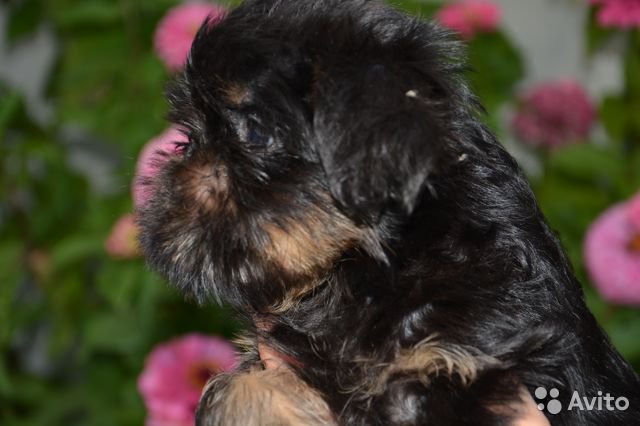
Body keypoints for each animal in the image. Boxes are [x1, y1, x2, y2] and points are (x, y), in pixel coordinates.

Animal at [137, 0, 640, 424]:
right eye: (189, 136)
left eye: (256, 134)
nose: (170, 175)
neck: (365, 265)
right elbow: (234, 390)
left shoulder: (457, 367)